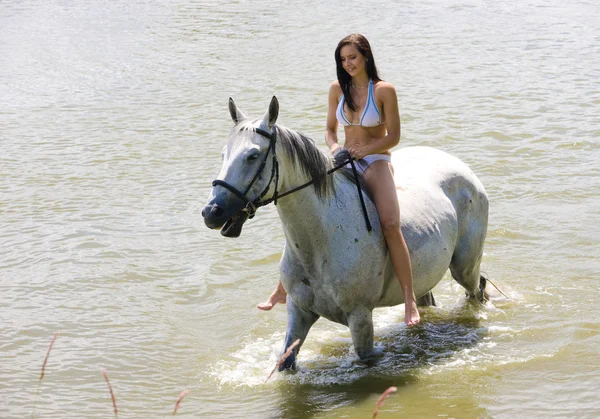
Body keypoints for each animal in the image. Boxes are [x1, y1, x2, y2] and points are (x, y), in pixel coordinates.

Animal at [202, 97, 488, 370]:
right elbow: (285, 361)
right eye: (223, 154)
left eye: (252, 156)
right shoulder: (299, 311)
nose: (211, 212)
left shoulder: (360, 317)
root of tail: (463, 168)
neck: (320, 242)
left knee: (477, 289)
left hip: (464, 268)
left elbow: (365, 357)